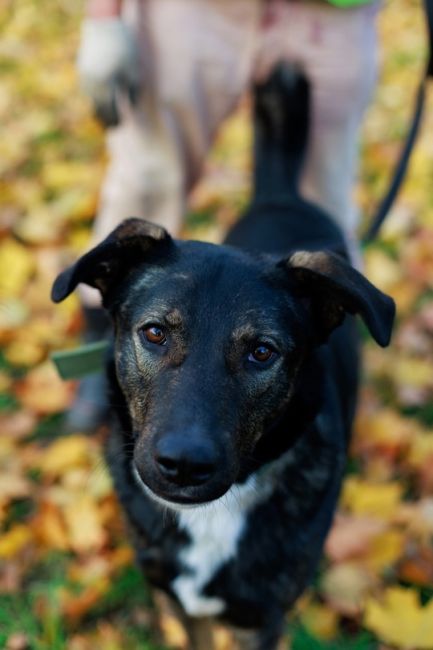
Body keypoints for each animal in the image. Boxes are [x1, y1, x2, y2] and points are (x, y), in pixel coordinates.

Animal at [52, 67, 394, 648]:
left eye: (262, 352)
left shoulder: (264, 618)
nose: (184, 465)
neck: (214, 515)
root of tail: (281, 194)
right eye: (154, 333)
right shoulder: (177, 599)